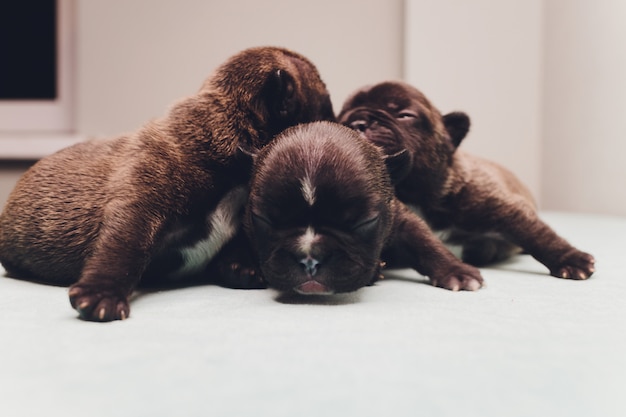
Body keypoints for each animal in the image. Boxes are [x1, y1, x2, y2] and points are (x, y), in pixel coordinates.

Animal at [0, 45, 334, 320]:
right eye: (326, 106)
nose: (339, 119)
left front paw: (240, 268)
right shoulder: (142, 205)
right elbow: (124, 246)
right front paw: (102, 294)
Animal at [244, 122, 482, 294]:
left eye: (364, 223)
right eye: (263, 220)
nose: (310, 260)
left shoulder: (401, 218)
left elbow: (424, 241)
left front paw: (457, 272)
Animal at [336, 81, 596, 282]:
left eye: (404, 115)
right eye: (341, 118)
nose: (358, 123)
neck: (415, 194)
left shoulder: (501, 206)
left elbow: (535, 232)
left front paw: (570, 259)